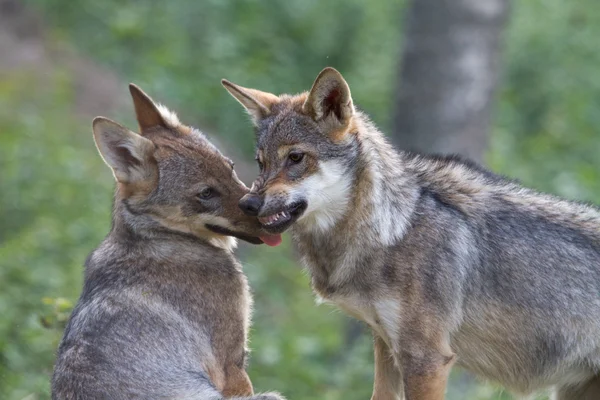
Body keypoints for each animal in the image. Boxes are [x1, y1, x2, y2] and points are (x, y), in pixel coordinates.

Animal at [223, 69, 600, 400]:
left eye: (296, 158)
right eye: (260, 162)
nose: (248, 203)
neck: (392, 229)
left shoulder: (427, 359)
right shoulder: (386, 345)